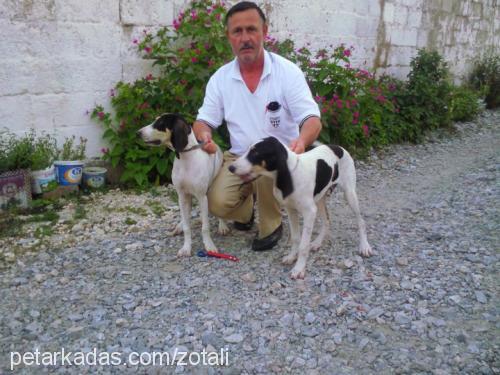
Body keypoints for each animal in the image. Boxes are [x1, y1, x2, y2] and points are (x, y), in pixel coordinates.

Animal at [138, 113, 229, 258]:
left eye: (160, 123)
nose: (138, 133)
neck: (186, 159)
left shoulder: (202, 197)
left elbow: (205, 227)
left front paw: (209, 246)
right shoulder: (182, 196)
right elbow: (187, 227)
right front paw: (186, 247)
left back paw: (222, 225)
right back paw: (179, 226)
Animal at [229, 138, 372, 280]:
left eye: (256, 153)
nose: (230, 167)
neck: (292, 174)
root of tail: (338, 147)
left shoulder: (309, 213)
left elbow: (303, 245)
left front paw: (299, 268)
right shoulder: (291, 210)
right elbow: (296, 238)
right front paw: (292, 257)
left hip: (349, 194)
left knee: (361, 222)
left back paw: (364, 246)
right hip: (319, 200)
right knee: (326, 221)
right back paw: (317, 243)